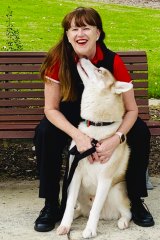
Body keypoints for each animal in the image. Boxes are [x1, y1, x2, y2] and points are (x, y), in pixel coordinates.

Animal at [57, 57, 132, 238]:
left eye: (99, 70)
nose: (82, 57)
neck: (97, 128)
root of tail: (108, 215)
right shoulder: (75, 174)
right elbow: (69, 205)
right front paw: (65, 225)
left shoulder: (105, 180)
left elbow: (96, 209)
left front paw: (90, 229)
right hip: (76, 189)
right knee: (80, 209)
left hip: (116, 191)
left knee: (127, 211)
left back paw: (123, 221)